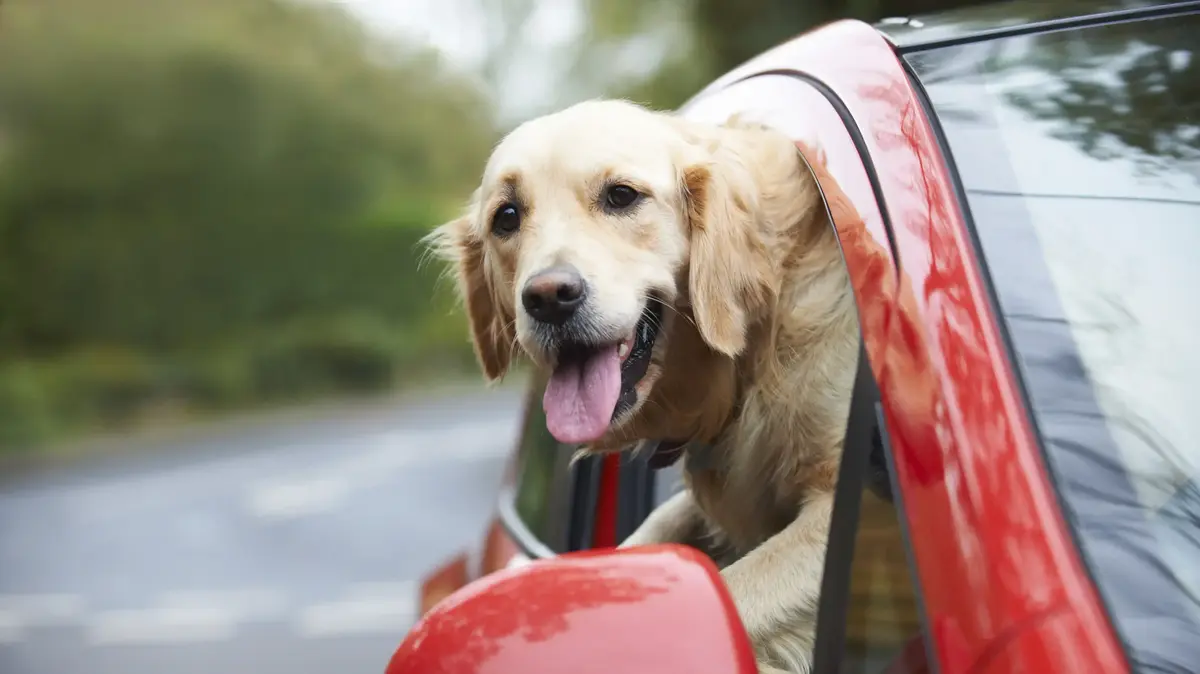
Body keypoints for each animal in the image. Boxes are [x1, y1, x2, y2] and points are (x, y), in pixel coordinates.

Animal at [432, 97, 864, 666]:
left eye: (621, 196)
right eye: (507, 216)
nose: (548, 297)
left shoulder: (843, 512)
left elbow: (731, 591)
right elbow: (654, 534)